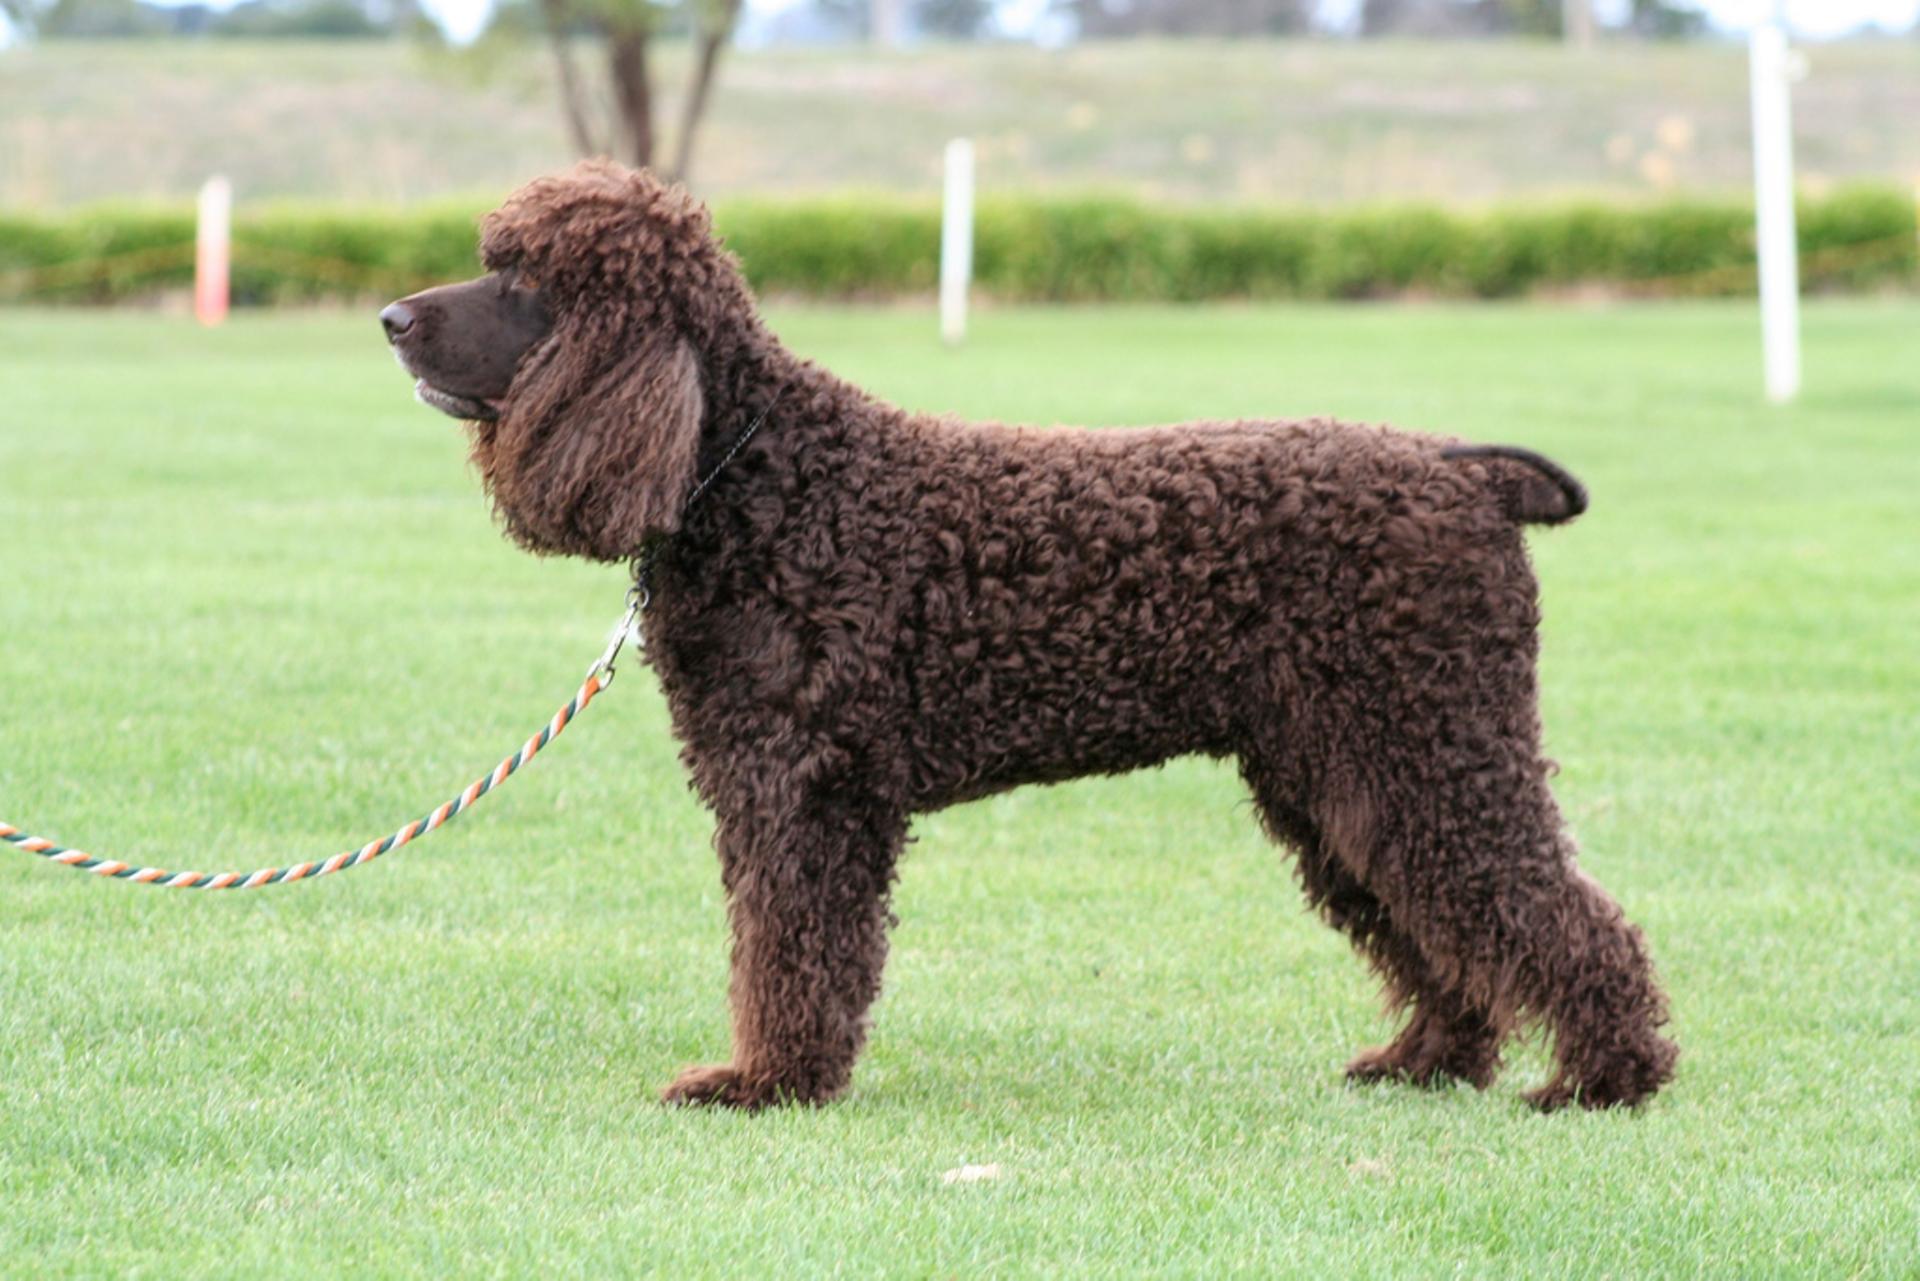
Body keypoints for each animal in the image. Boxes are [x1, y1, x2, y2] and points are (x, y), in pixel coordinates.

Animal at [382, 163, 1674, 1113]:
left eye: (523, 277)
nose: (392, 318)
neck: (758, 475)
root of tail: (1464, 472)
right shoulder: (774, 788)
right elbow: (781, 947)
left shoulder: (804, 792)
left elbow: (791, 950)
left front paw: (768, 1082)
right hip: (1340, 772)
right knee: (1435, 920)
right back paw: (1429, 1064)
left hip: (1429, 742)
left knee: (1542, 909)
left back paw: (1605, 1078)